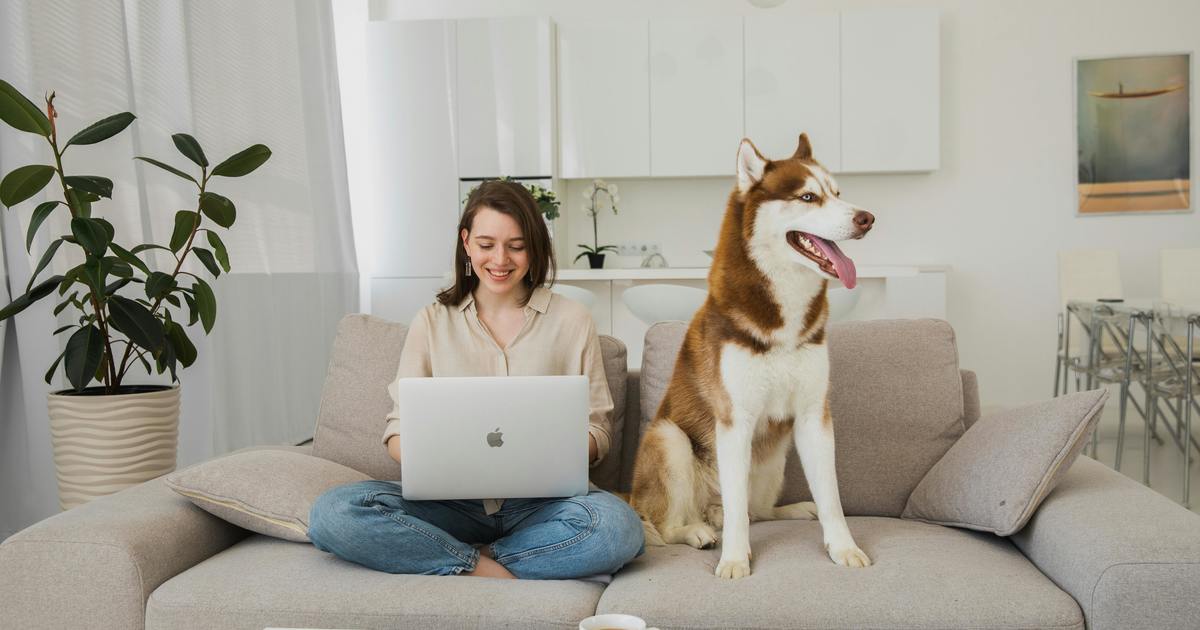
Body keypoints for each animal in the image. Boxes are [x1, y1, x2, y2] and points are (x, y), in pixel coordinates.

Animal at [628, 133, 873, 580]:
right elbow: (737, 508)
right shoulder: (734, 420)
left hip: (774, 456)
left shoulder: (813, 416)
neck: (785, 315)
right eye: (808, 196)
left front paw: (843, 547)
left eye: (837, 193)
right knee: (669, 523)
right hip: (671, 439)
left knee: (758, 510)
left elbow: (831, 497)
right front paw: (734, 558)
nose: (867, 218)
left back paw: (790, 509)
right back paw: (697, 530)